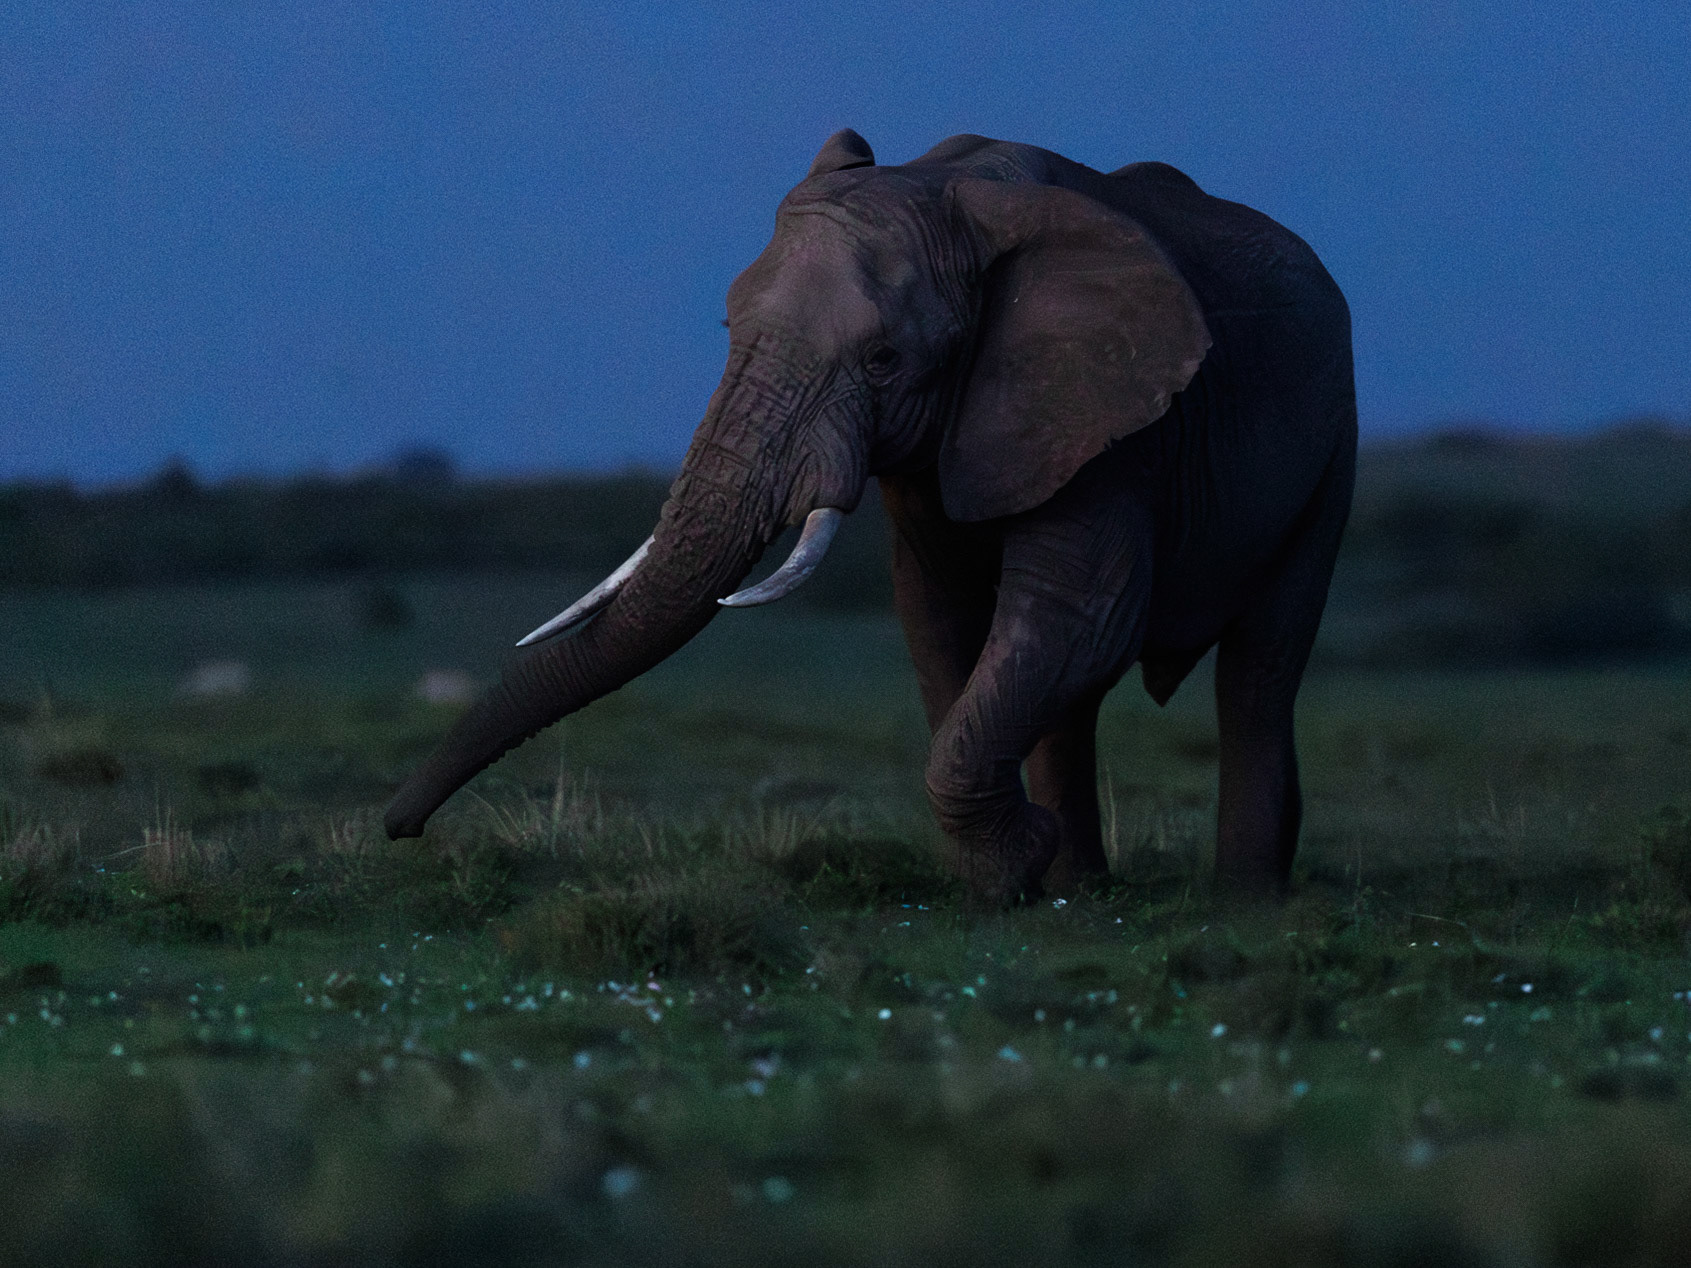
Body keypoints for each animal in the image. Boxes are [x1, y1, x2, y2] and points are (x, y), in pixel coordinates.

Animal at [385, 129, 1356, 904]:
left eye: (885, 359)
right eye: (728, 329)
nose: (399, 829)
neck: (956, 188)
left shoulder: (1114, 423)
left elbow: (1080, 616)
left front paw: (1007, 872)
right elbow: (941, 618)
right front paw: (1017, 878)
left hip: (1332, 442)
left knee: (1260, 668)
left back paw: (1244, 903)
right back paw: (1085, 888)